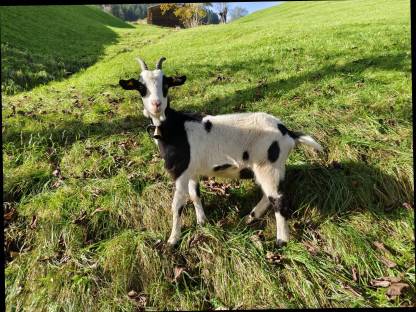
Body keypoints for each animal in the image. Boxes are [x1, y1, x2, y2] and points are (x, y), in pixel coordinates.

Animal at [118, 56, 324, 246]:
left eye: (166, 83)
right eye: (141, 86)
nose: (156, 104)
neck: (174, 127)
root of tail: (287, 132)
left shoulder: (180, 171)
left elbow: (177, 205)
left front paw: (173, 240)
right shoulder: (192, 171)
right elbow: (195, 194)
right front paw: (202, 221)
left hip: (269, 166)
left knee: (278, 199)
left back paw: (281, 241)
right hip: (267, 168)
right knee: (269, 195)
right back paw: (251, 216)